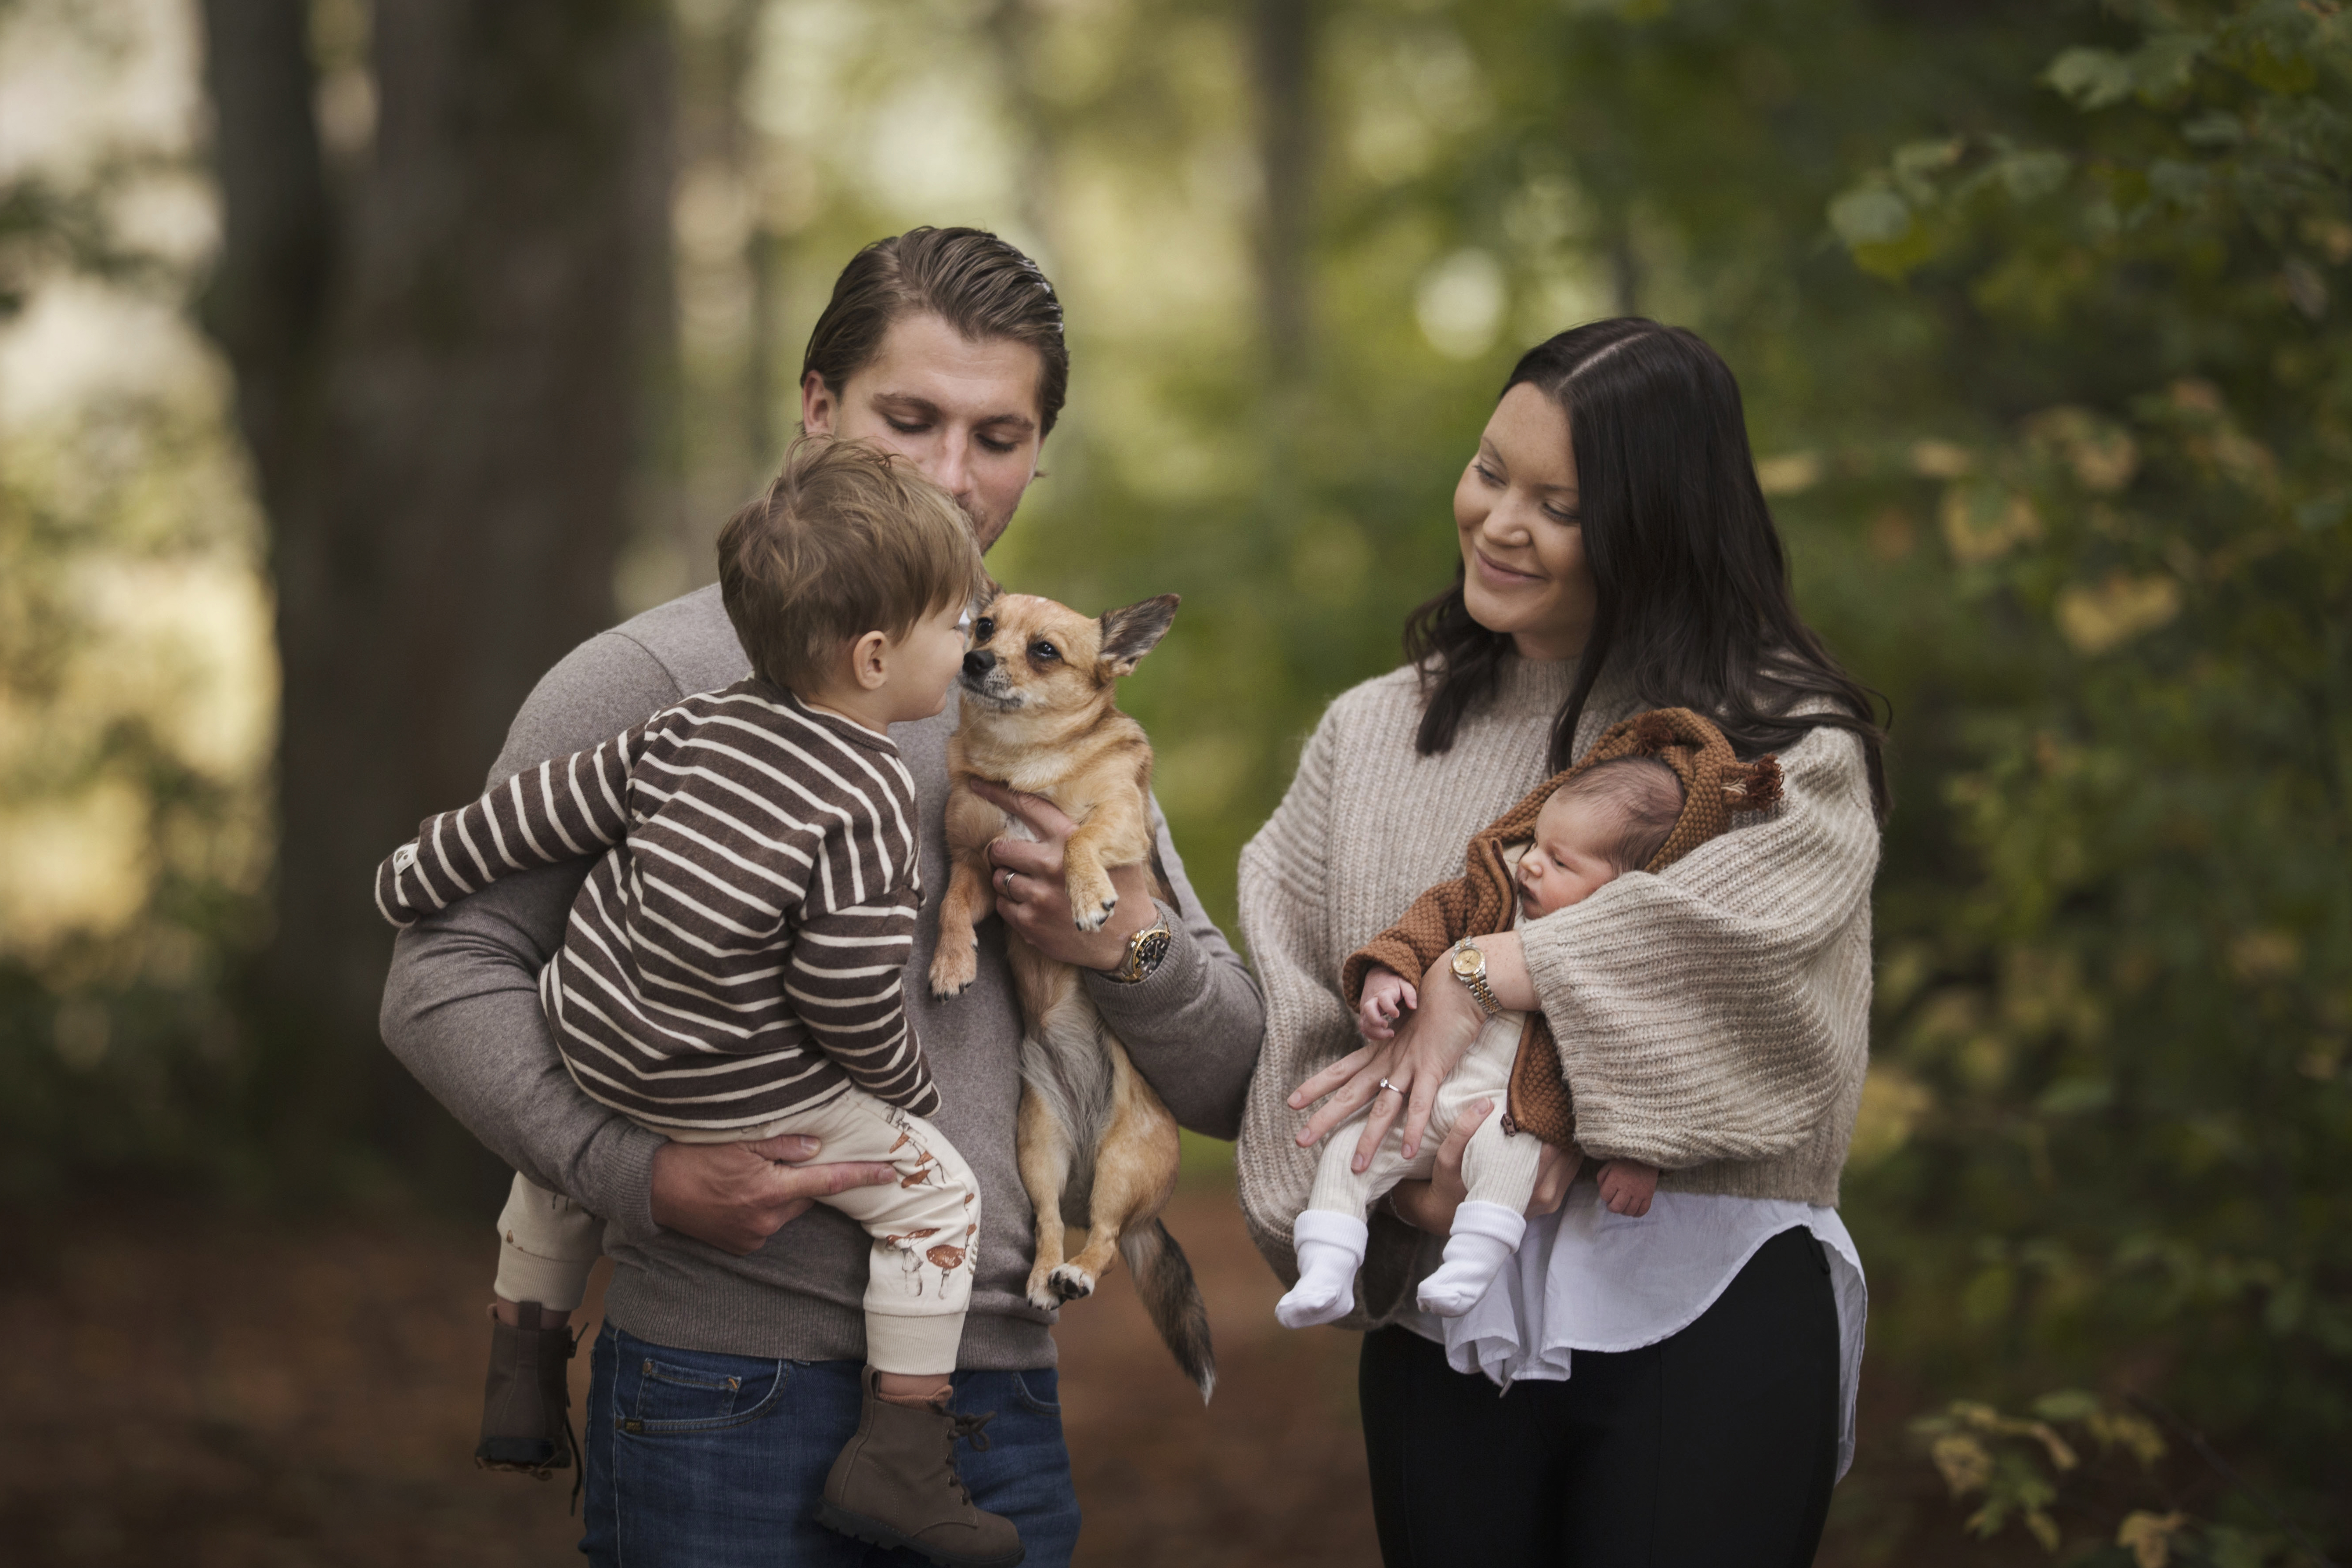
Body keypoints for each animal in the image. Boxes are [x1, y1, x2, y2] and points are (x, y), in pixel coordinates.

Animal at [922, 588, 1214, 1401]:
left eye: (1045, 651)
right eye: (985, 627)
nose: (974, 660)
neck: (1024, 765)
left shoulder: (1120, 826)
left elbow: (1082, 839)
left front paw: (1086, 899)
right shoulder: (978, 867)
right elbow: (951, 908)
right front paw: (951, 964)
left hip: (1123, 1163)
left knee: (1108, 1240)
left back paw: (1078, 1273)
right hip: (1040, 1149)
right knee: (1051, 1225)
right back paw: (1044, 1277)